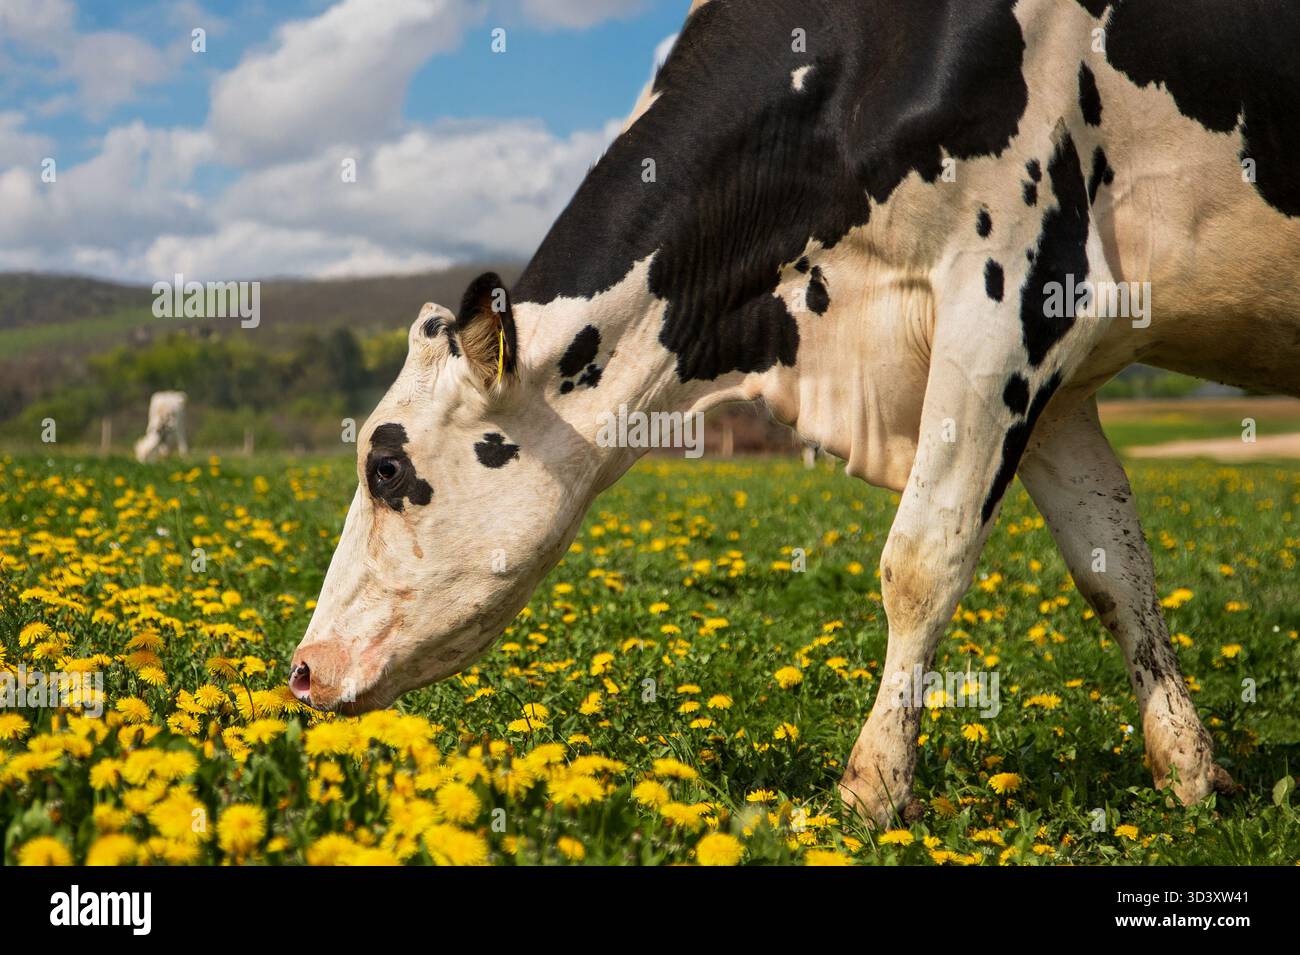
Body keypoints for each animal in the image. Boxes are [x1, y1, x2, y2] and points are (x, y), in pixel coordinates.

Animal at [290, 0, 1300, 827]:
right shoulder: (1054, 385)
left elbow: (921, 561)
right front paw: (1191, 771)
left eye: (386, 466)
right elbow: (1114, 567)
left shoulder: (1010, 292)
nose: (303, 668)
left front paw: (873, 787)